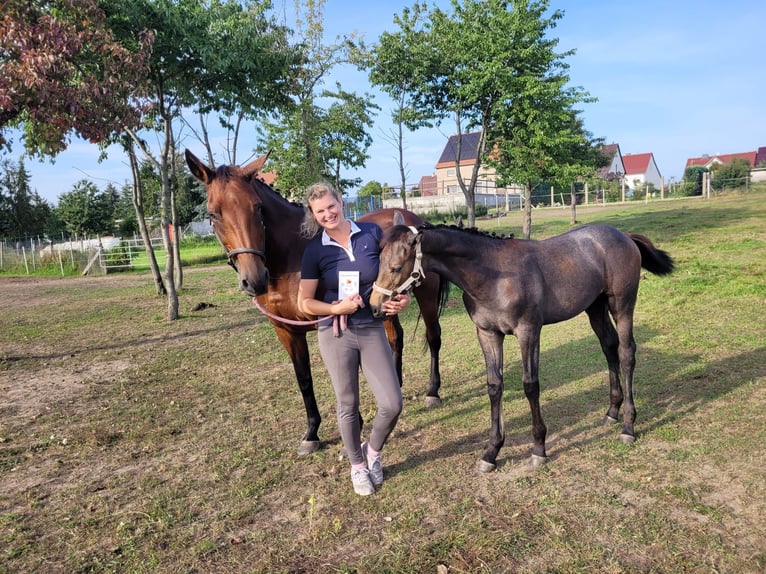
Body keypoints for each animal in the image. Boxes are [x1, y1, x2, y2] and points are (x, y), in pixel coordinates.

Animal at [185, 151, 450, 456]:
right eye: (213, 213)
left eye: (258, 208)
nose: (254, 280)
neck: (290, 259)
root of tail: (414, 219)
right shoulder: (286, 331)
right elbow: (304, 378)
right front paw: (311, 433)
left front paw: (355, 423)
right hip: (384, 305)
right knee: (396, 338)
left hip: (426, 295)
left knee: (433, 336)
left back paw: (432, 392)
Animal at [368, 218, 676, 474]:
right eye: (378, 262)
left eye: (396, 267)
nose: (374, 306)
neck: (494, 276)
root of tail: (623, 235)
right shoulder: (488, 334)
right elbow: (494, 386)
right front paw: (491, 452)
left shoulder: (528, 332)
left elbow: (530, 385)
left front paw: (539, 448)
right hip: (595, 307)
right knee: (609, 347)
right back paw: (612, 412)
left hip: (622, 305)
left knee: (626, 353)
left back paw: (628, 425)